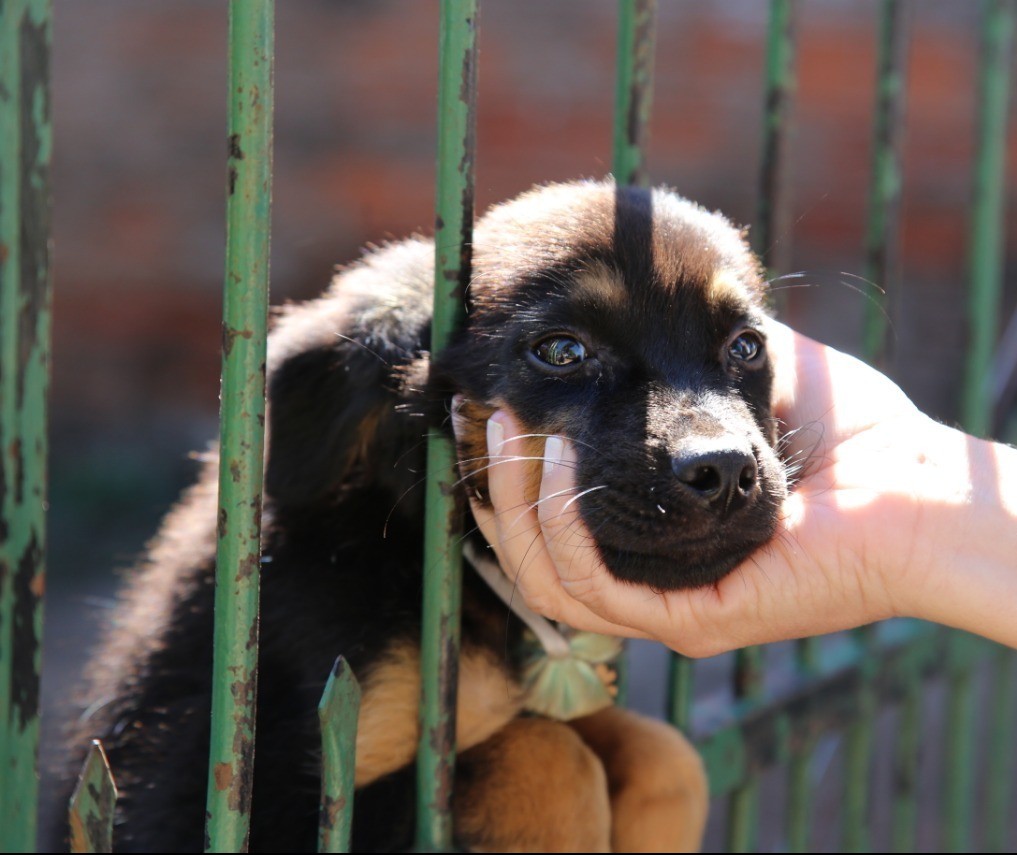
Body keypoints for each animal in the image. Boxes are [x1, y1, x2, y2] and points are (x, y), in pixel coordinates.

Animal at [57, 176, 785, 849]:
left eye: (747, 347)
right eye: (562, 351)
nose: (724, 473)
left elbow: (663, 753)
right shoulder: (210, 806)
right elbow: (547, 754)